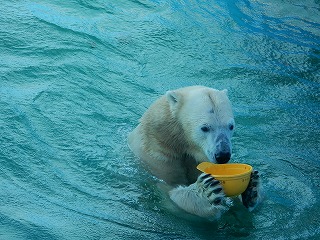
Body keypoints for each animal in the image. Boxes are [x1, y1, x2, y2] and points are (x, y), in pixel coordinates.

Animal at [128, 86, 260, 218]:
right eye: (205, 128)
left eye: (231, 126)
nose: (223, 155)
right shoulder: (158, 156)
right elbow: (169, 193)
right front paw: (206, 190)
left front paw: (252, 187)